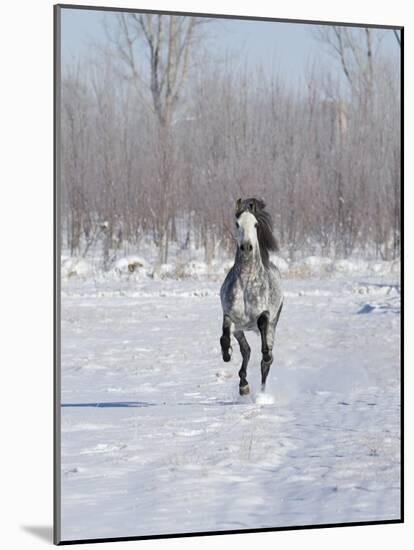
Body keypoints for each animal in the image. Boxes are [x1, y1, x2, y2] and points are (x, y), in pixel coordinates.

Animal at [220, 198, 284, 396]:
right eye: (237, 223)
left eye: (255, 224)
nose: (247, 247)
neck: (246, 282)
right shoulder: (230, 316)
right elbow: (224, 336)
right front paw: (226, 354)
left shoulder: (265, 314)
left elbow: (262, 324)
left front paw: (266, 354)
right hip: (240, 330)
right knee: (246, 351)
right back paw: (243, 385)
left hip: (273, 326)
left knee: (266, 363)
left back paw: (262, 392)